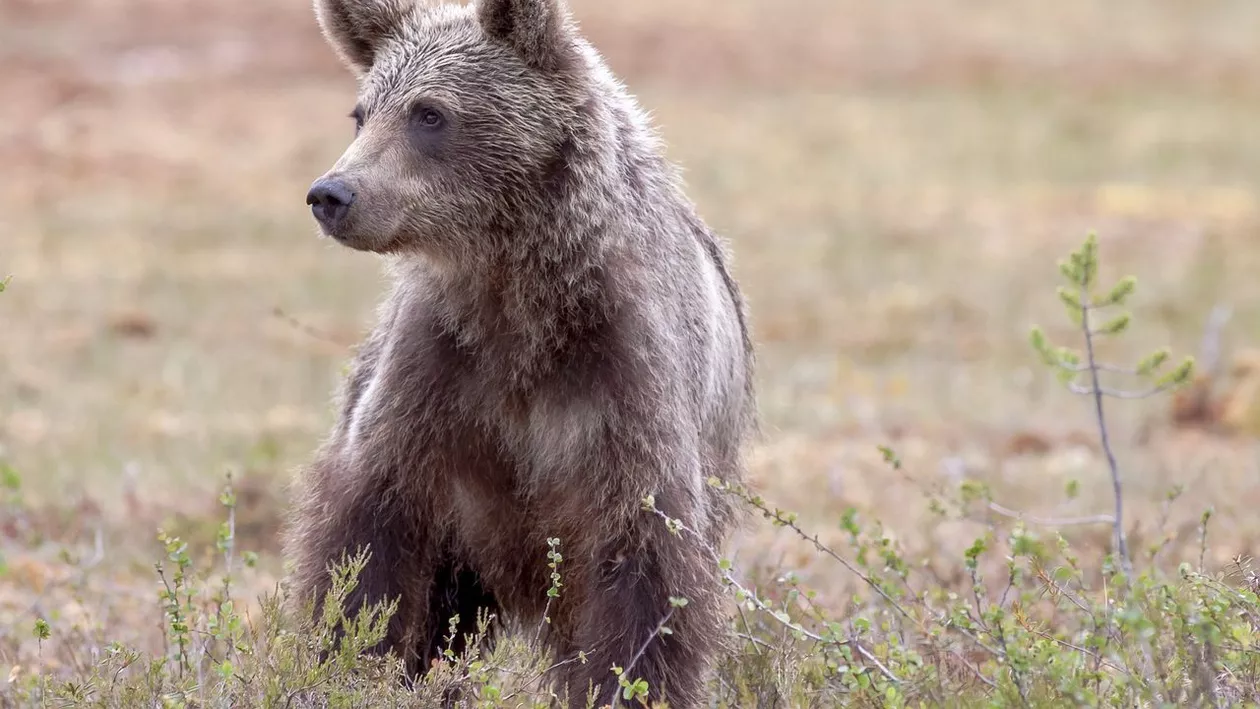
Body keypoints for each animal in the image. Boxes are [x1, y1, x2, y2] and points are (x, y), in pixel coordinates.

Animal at [283, 0, 756, 705]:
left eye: (430, 113)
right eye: (362, 112)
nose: (332, 194)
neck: (521, 299)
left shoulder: (624, 382)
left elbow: (644, 578)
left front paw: (624, 684)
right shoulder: (435, 379)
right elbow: (366, 554)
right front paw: (351, 663)